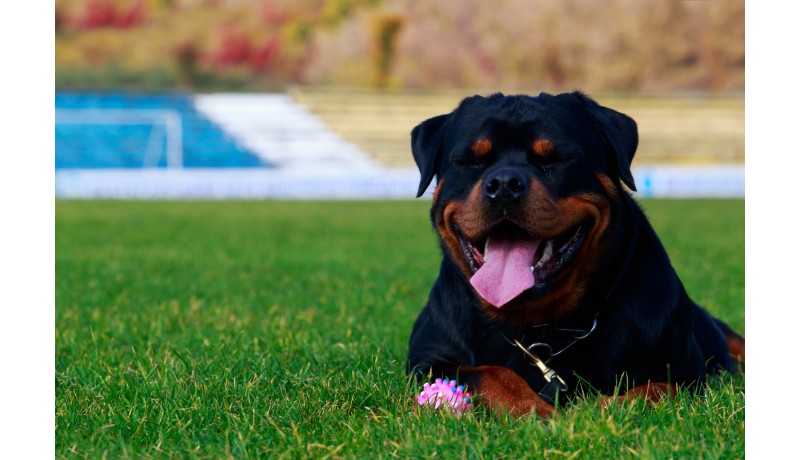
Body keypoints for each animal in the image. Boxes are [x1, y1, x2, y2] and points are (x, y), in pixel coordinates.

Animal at [406, 91, 744, 418]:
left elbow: (657, 389)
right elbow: (489, 373)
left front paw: (603, 409)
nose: (503, 183)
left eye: (556, 159)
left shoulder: (688, 374)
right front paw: (533, 410)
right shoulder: (426, 362)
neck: (539, 326)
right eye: (471, 161)